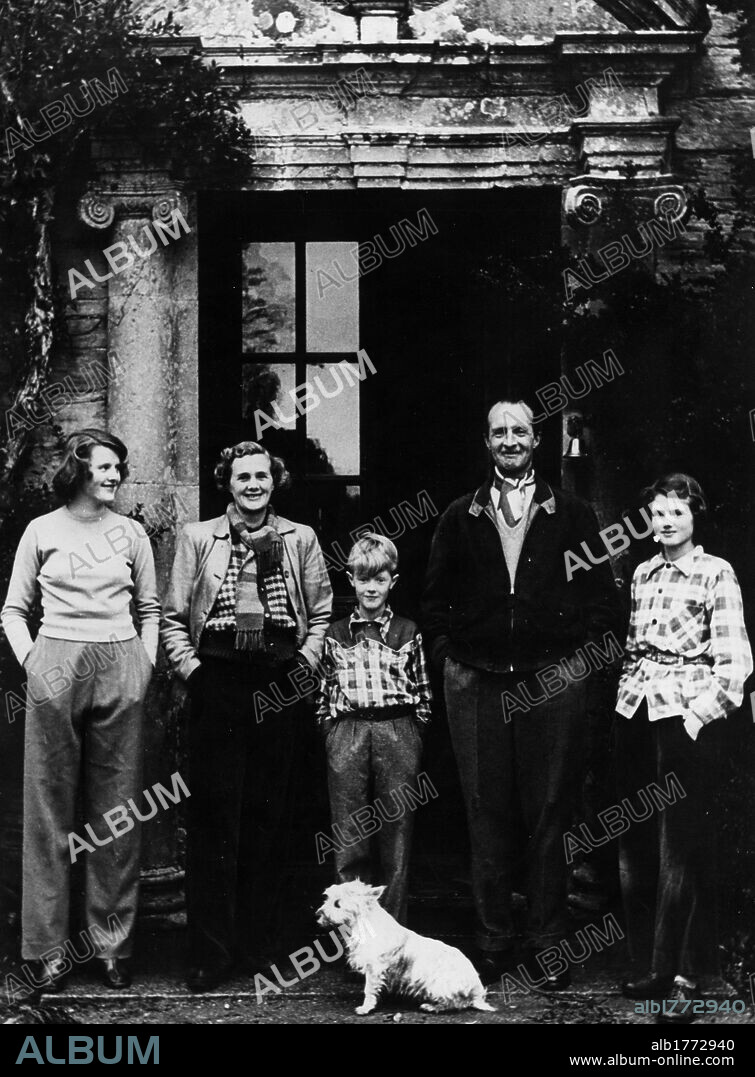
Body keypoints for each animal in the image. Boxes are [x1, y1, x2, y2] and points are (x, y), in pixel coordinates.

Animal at [314, 878, 495, 1012]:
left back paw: (432, 1006)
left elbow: (369, 989)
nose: (317, 914)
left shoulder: (374, 968)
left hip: (439, 985)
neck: (363, 923)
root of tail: (477, 990)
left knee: (457, 1002)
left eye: (338, 904)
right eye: (327, 898)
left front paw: (365, 1008)